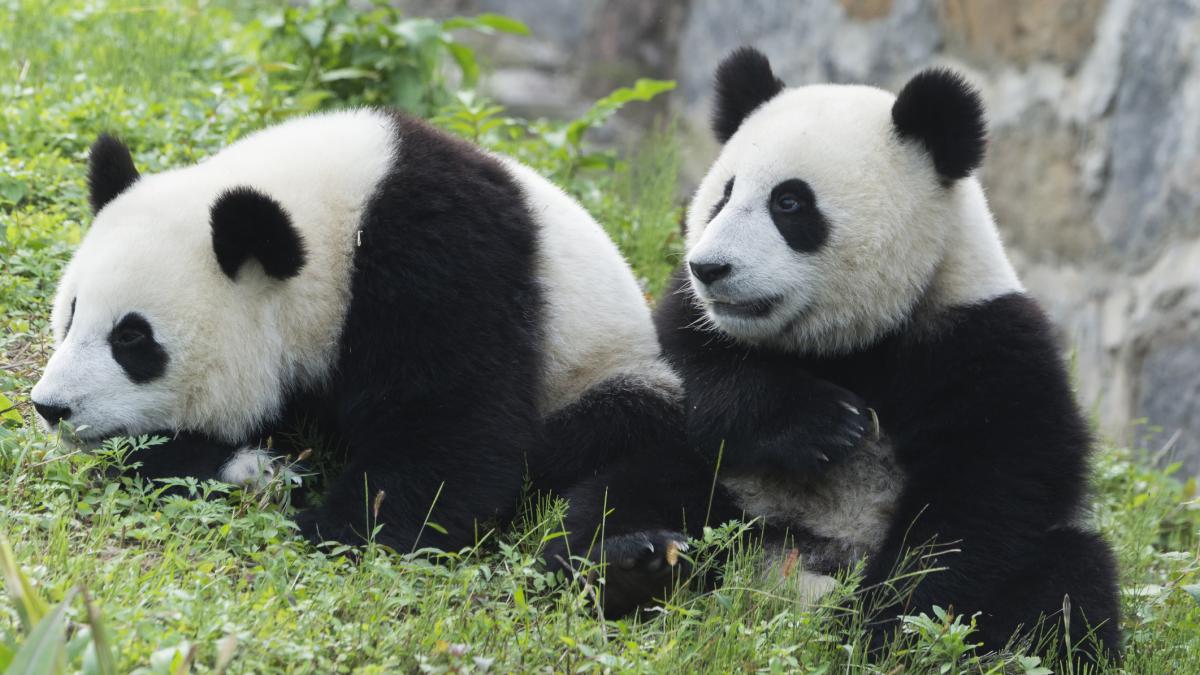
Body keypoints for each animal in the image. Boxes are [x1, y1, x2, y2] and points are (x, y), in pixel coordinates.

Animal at [29, 108, 684, 555]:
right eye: (71, 313)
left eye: (132, 339)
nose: (50, 407)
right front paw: (256, 468)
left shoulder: (444, 264)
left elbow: (452, 431)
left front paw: (331, 524)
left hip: (608, 370)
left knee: (614, 444)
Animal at [565, 49, 1122, 660]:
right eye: (724, 195)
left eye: (789, 202)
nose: (709, 268)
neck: (848, 343)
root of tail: (776, 585)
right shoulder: (691, 317)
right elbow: (690, 378)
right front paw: (825, 423)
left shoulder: (983, 340)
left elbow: (988, 494)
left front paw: (882, 625)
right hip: (732, 504)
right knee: (630, 492)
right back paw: (631, 566)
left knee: (1067, 583)